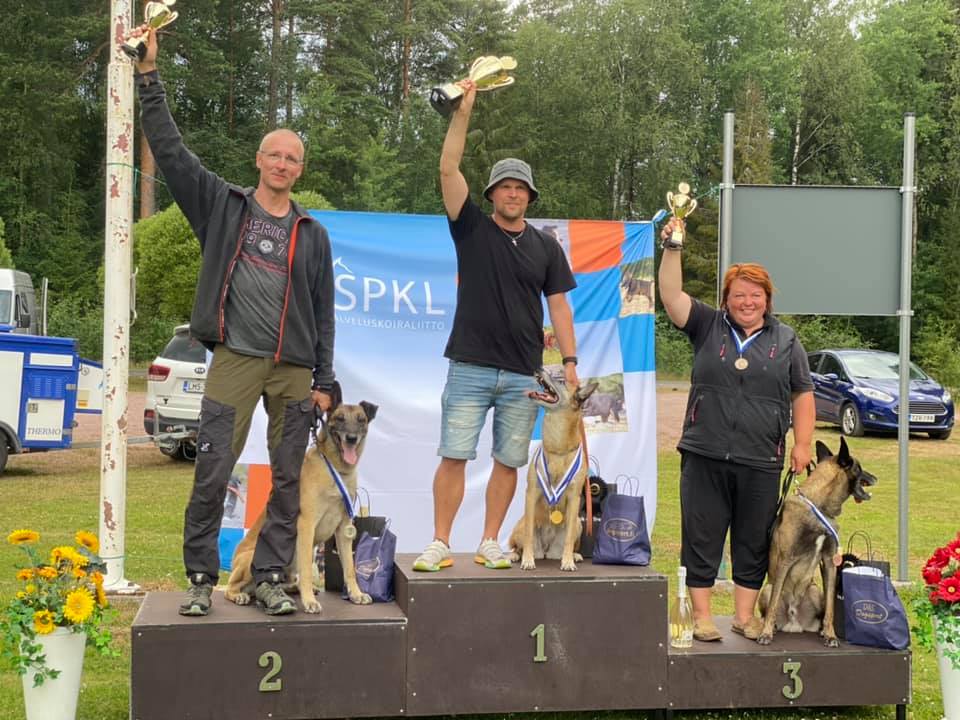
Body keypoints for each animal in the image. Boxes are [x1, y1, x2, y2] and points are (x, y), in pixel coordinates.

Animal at [225, 399, 378, 613]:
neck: (335, 468)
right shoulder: (307, 525)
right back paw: (240, 595)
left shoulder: (344, 529)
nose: (351, 438)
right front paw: (309, 602)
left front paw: (356, 594)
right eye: (339, 418)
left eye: (361, 420)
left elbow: (349, 568)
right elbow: (306, 570)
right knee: (231, 586)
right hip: (253, 559)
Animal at [508, 369, 598, 571]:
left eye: (562, 381)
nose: (539, 369)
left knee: (570, 541)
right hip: (521, 524)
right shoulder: (532, 493)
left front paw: (568, 561)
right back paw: (516, 556)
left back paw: (574, 555)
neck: (558, 449)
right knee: (518, 544)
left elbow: (569, 539)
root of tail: (546, 551)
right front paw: (527, 560)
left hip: (579, 524)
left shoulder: (574, 498)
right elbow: (529, 536)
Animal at [757, 437, 876, 646]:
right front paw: (765, 634)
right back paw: (771, 626)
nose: (875, 478)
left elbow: (830, 608)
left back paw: (820, 630)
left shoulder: (829, 562)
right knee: (771, 604)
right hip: (767, 589)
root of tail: (794, 621)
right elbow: (772, 605)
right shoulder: (785, 561)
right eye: (859, 468)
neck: (818, 506)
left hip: (814, 591)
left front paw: (830, 635)